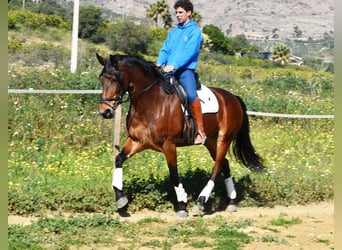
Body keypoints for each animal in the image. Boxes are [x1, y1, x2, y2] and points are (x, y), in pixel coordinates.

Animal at [95, 52, 264, 217]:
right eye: (101, 79)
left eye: (114, 79)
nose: (105, 111)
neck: (150, 102)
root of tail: (233, 98)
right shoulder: (137, 141)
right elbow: (118, 160)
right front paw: (120, 200)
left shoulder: (169, 145)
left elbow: (174, 174)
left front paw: (182, 204)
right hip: (210, 141)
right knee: (224, 164)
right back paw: (232, 202)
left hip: (224, 139)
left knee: (216, 168)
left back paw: (200, 202)